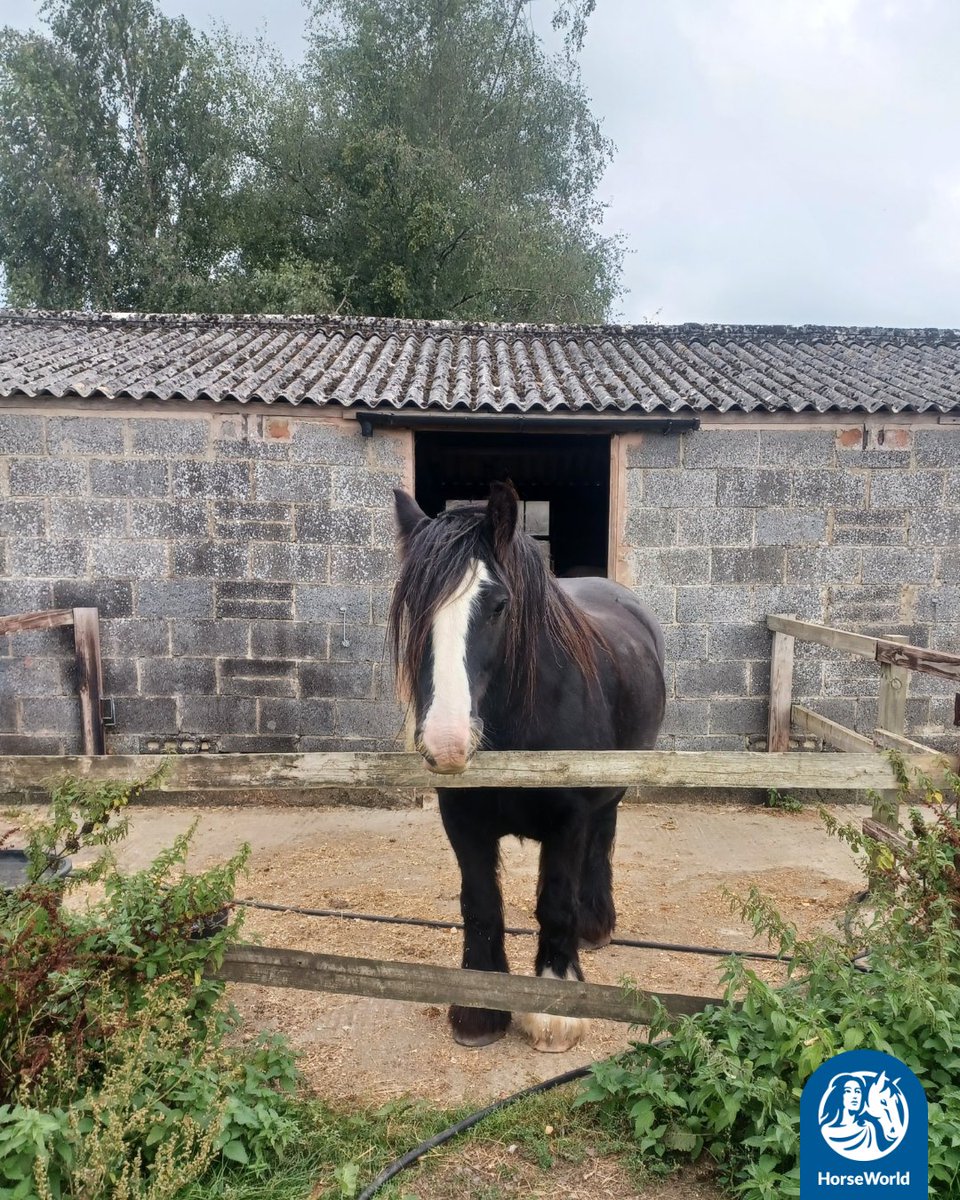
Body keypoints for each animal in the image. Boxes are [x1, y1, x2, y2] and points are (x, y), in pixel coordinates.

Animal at [389, 482, 666, 1052]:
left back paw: (596, 924)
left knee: (602, 843)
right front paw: (478, 1010)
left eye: (498, 606)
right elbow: (480, 905)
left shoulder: (570, 820)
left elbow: (556, 903)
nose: (447, 740)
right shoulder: (462, 821)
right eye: (413, 608)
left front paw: (554, 1010)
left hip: (613, 790)